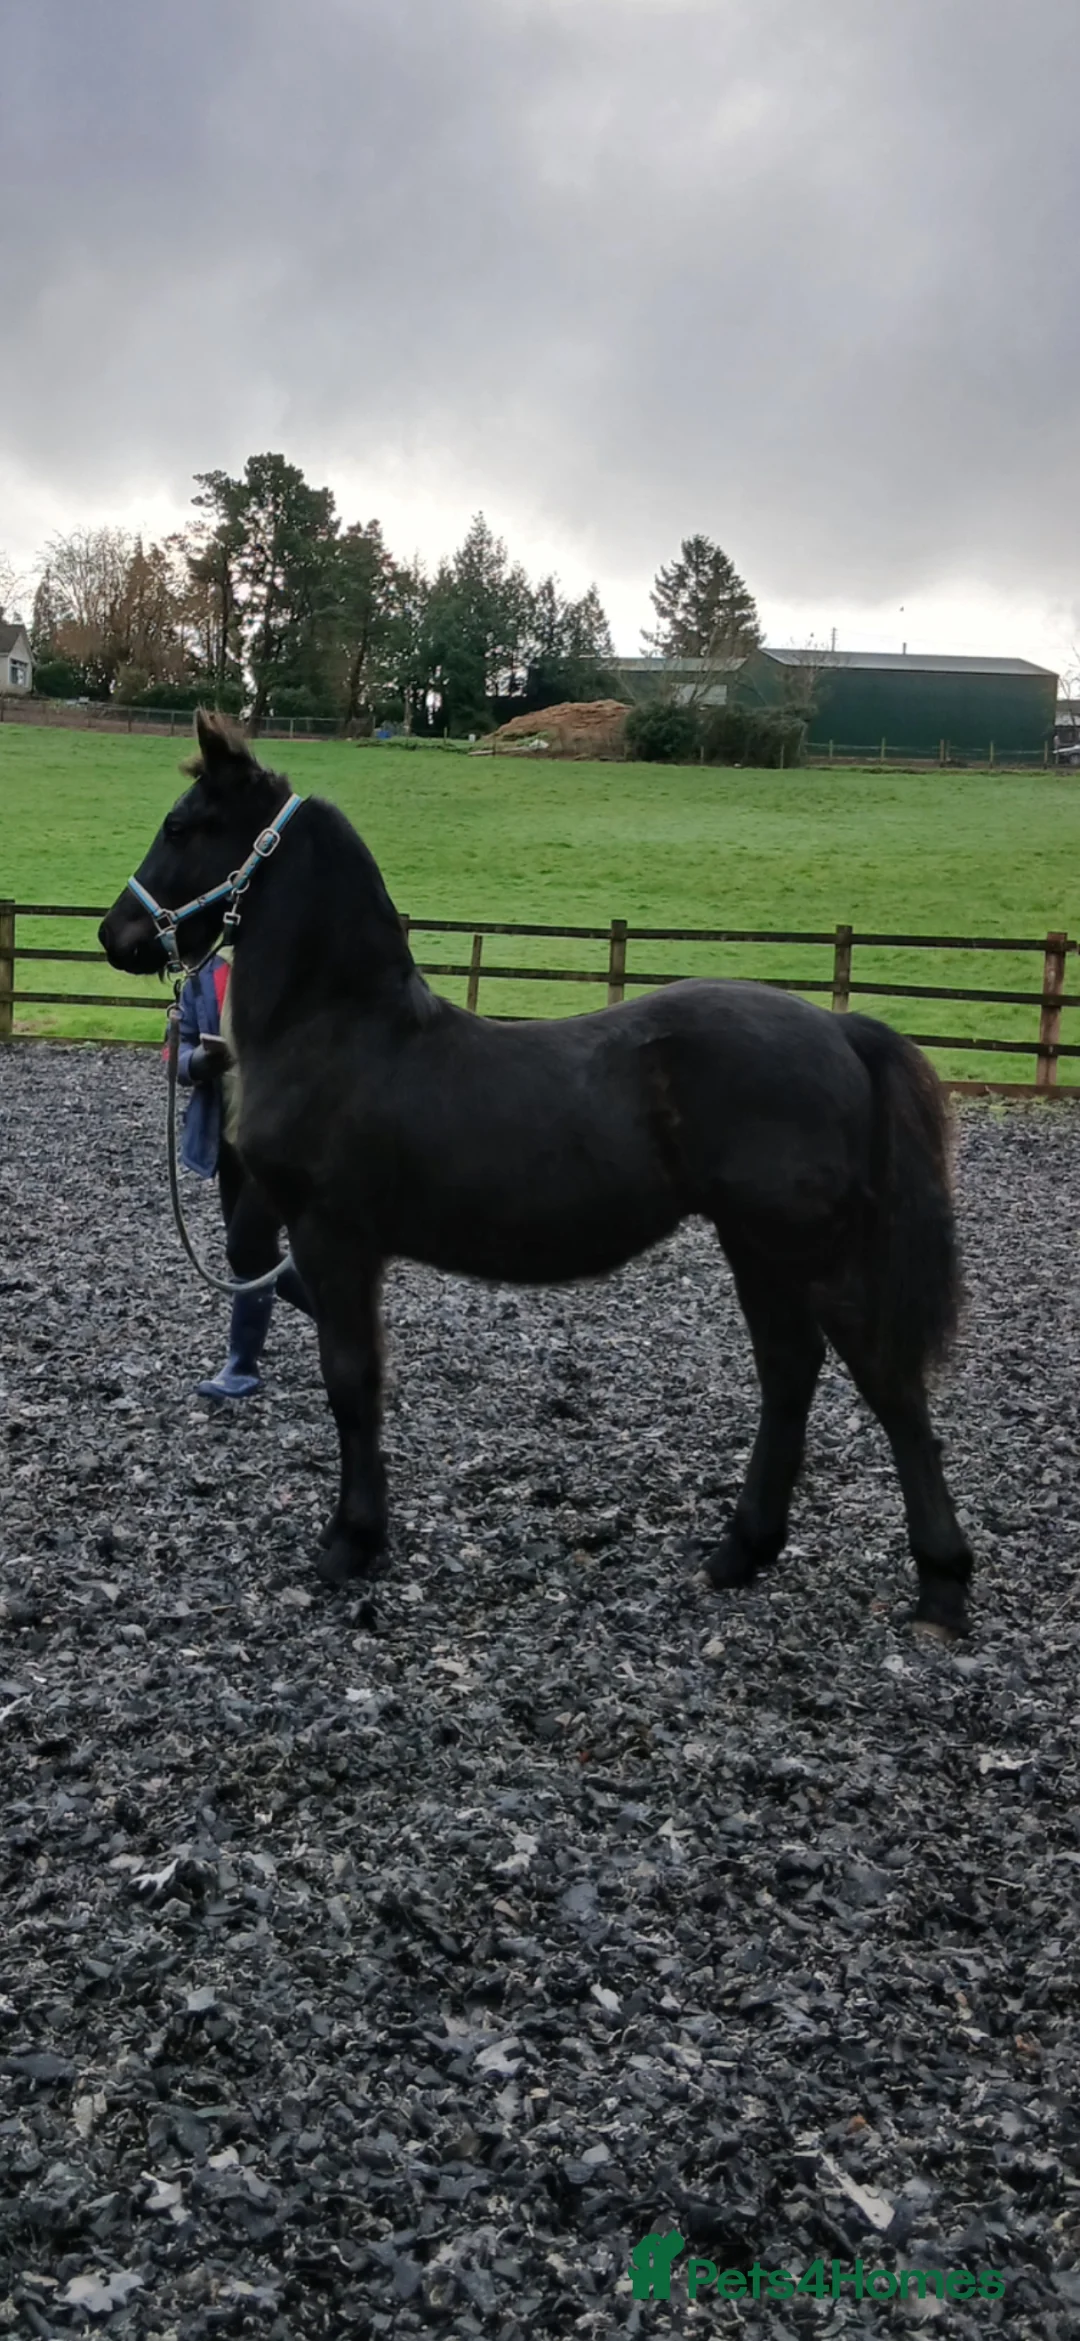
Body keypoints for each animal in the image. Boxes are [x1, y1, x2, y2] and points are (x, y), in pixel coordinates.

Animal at [100, 710, 974, 1638]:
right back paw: (741, 1551)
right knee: (790, 1370)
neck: (339, 1026)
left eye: (181, 826)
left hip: (804, 1251)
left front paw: (352, 1542)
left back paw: (940, 1584)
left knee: (886, 1382)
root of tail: (840, 1030)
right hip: (759, 1250)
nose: (114, 935)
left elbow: (352, 1378)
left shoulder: (334, 1237)